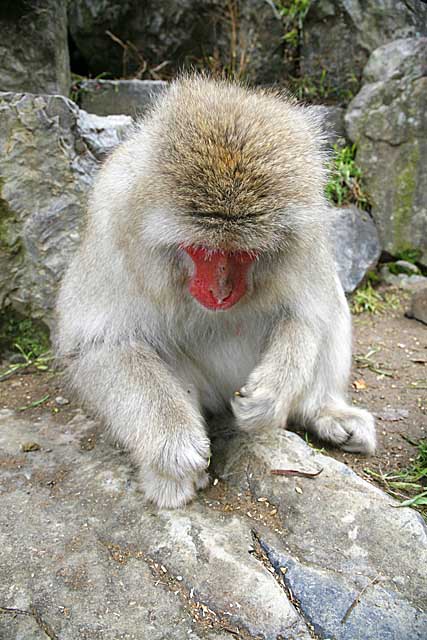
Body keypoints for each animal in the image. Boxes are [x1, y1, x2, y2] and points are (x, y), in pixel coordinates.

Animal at [56, 75, 374, 508]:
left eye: (244, 253)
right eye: (204, 250)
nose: (221, 294)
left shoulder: (308, 238)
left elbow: (308, 314)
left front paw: (269, 397)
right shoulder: (114, 230)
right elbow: (99, 343)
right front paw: (174, 447)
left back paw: (322, 409)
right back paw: (166, 475)